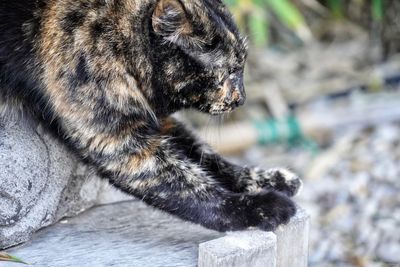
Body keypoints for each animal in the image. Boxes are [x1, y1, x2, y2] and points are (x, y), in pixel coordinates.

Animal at [0, 0, 300, 231]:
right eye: (230, 72)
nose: (242, 98)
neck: (113, 41)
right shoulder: (120, 143)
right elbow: (188, 187)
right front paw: (259, 207)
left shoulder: (158, 122)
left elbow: (210, 158)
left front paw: (264, 179)